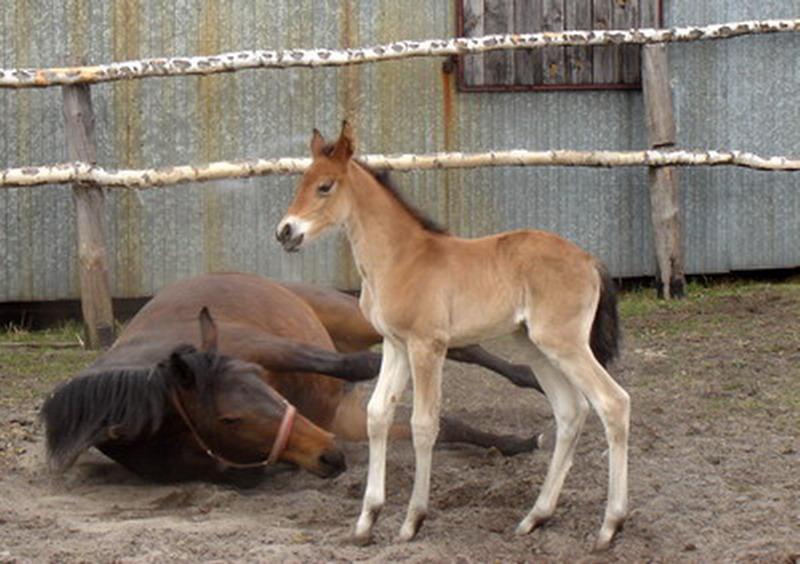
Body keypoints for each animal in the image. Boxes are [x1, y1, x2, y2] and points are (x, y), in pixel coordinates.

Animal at [45, 274, 544, 484]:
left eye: (262, 382)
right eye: (229, 419)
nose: (329, 453)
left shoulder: (265, 347)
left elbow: (355, 367)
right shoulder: (339, 419)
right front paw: (513, 444)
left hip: (351, 316)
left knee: (458, 347)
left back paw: (532, 377)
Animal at [278, 123, 628, 552]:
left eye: (325, 186)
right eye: (302, 182)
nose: (285, 232)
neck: (400, 259)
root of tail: (590, 260)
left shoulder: (427, 345)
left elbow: (424, 424)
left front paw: (412, 521)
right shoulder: (395, 346)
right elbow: (377, 415)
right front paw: (366, 521)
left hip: (565, 344)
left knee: (613, 402)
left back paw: (609, 527)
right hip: (536, 347)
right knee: (571, 411)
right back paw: (534, 517)